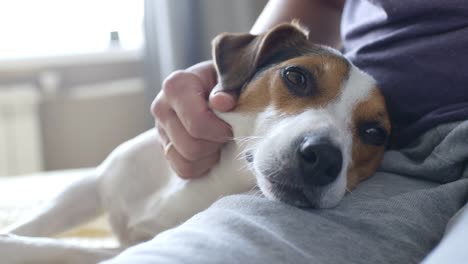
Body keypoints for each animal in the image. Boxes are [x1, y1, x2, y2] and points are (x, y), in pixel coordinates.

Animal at [0, 23, 392, 264]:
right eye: (296, 76)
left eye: (374, 133)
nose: (323, 158)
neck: (218, 173)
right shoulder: (91, 186)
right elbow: (35, 226)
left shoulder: (128, 247)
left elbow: (57, 247)